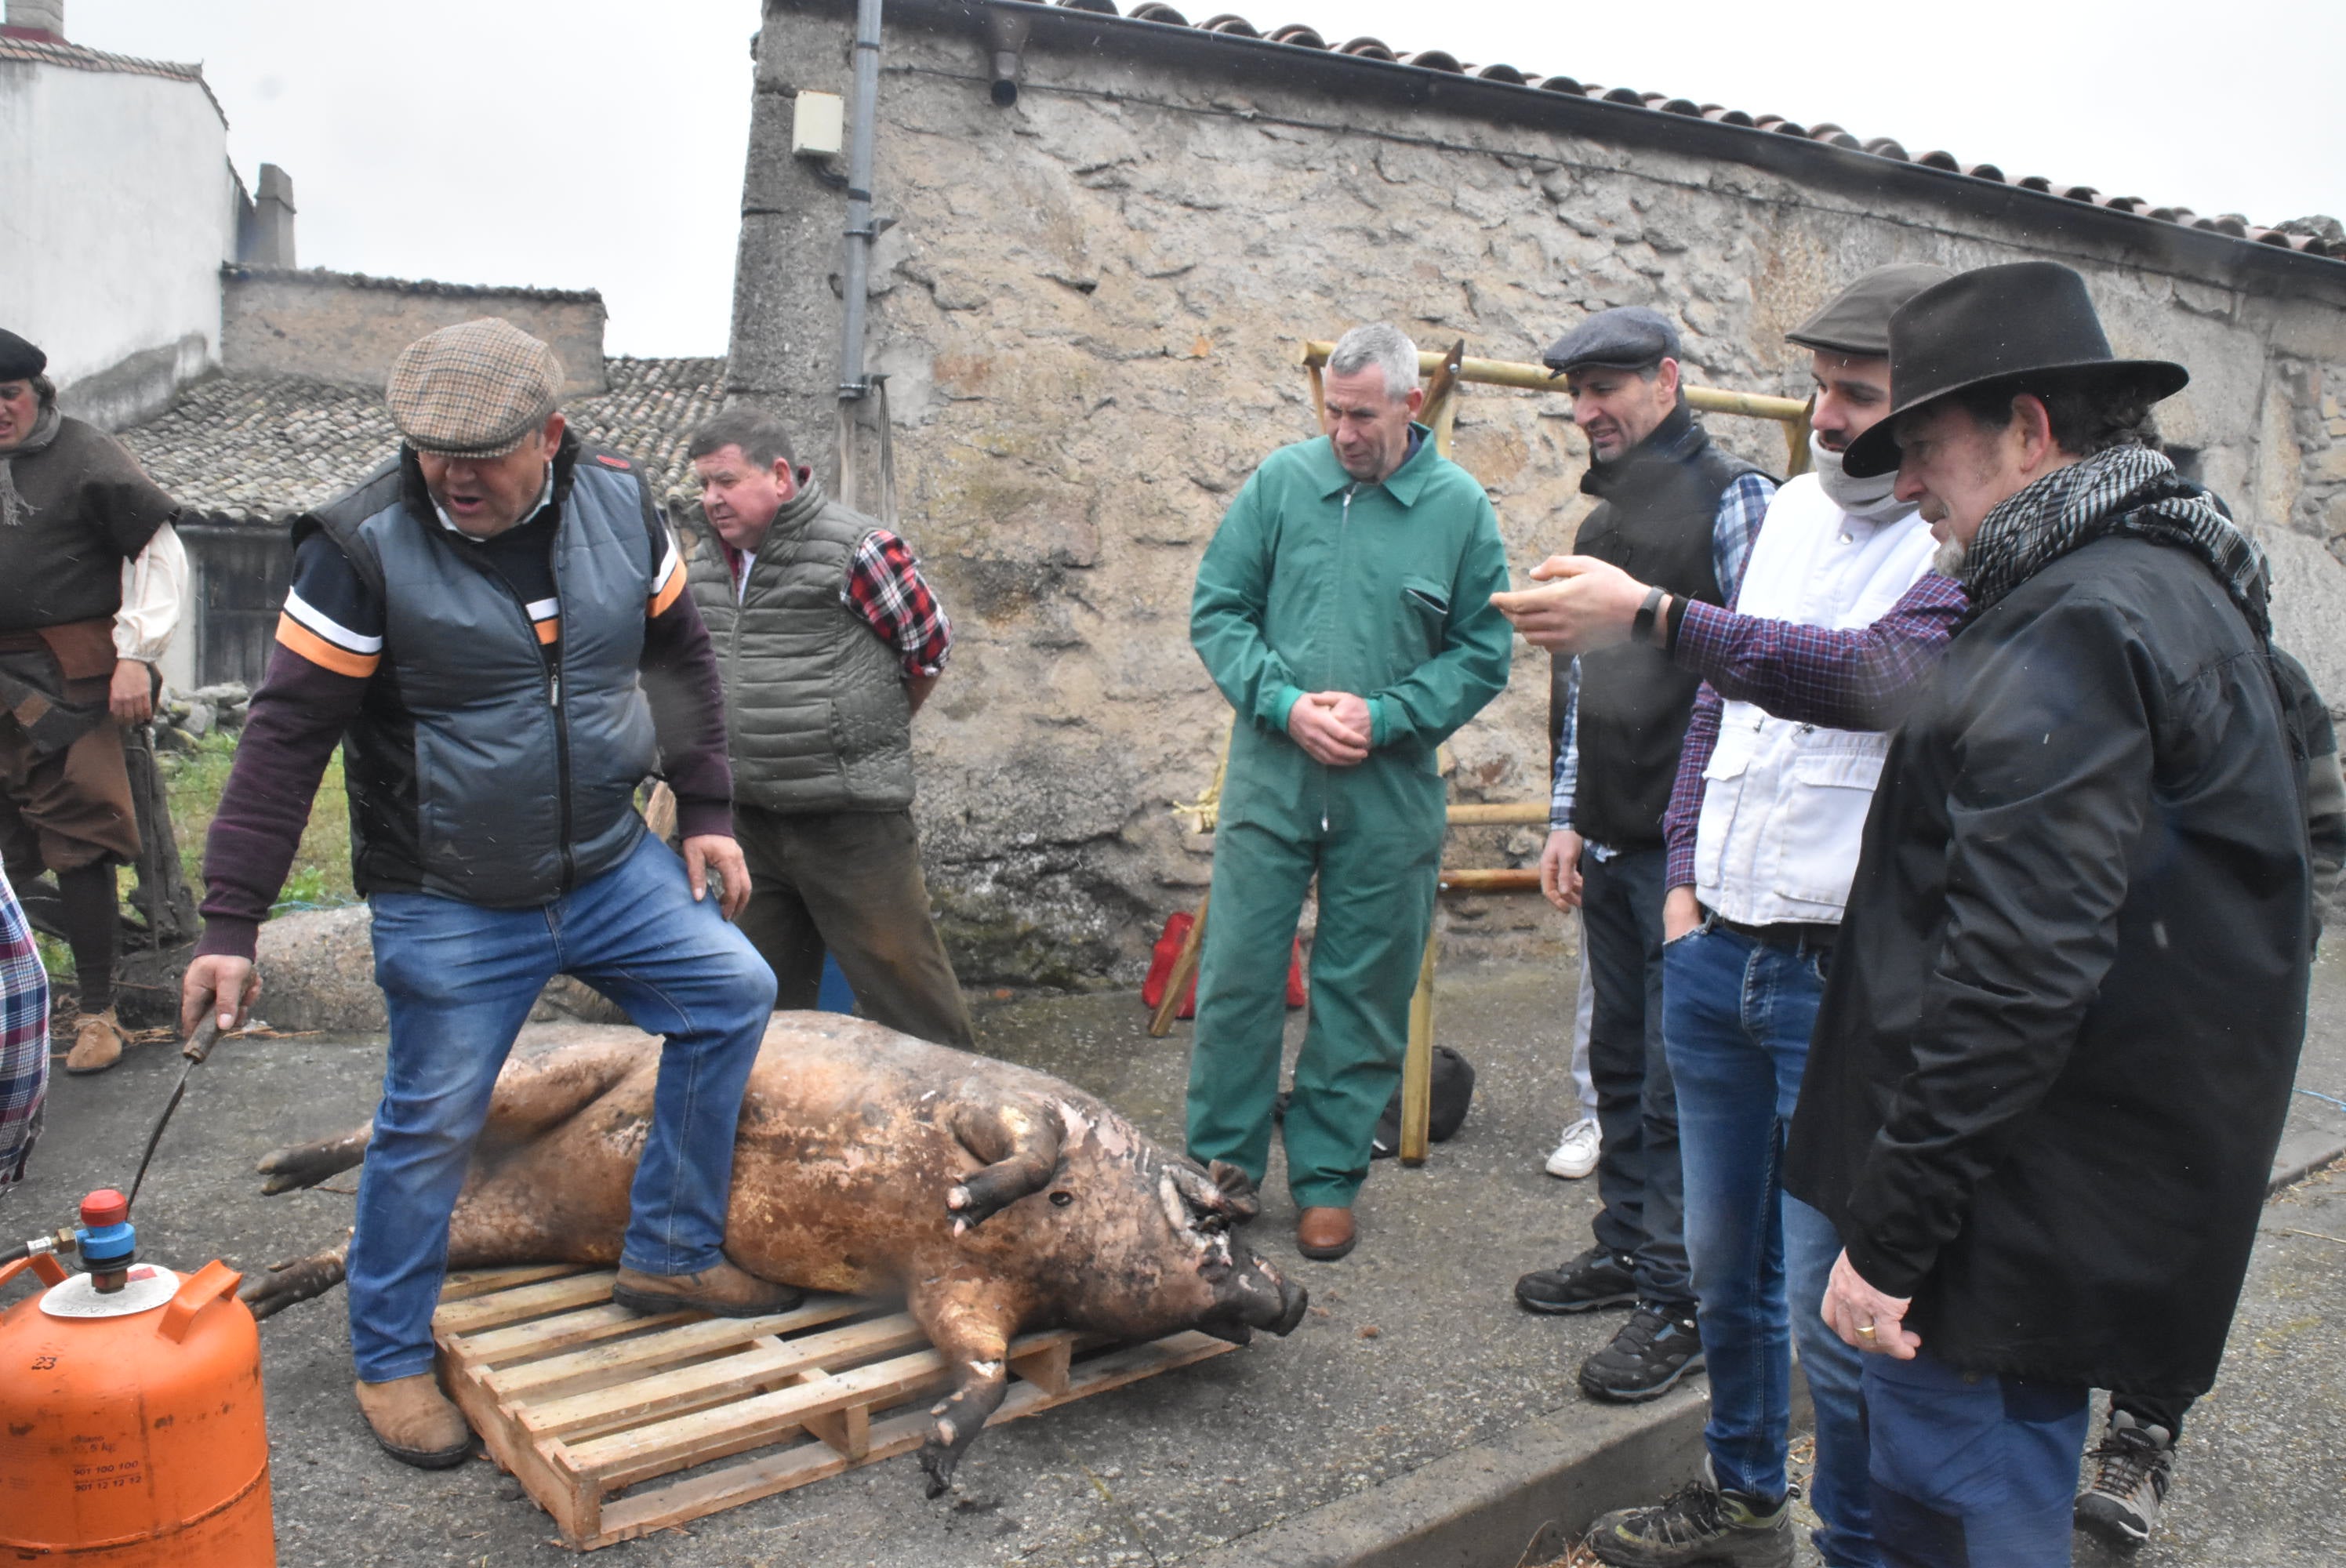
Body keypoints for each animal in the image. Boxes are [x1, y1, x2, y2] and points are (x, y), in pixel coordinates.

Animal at [247, 1018, 1313, 1493]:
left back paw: (260, 1290)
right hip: (554, 1067)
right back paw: (271, 1172)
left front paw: (936, 1463)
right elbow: (1028, 1150)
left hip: (516, 1221)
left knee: (359, 1244)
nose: (1296, 1297)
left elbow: (985, 1366)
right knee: (389, 1133)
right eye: (1218, 1230)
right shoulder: (1002, 1106)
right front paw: (966, 1198)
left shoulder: (959, 1291)